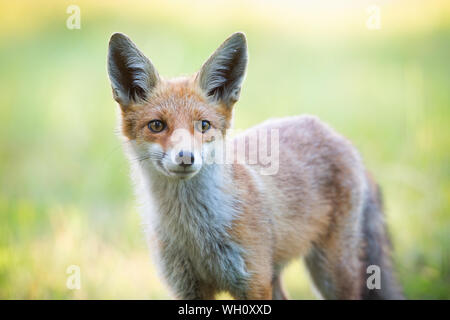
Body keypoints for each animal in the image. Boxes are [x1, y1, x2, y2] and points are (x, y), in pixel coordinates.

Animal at [107, 31, 402, 298]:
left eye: (204, 125)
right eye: (157, 125)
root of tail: (336, 134)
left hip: (331, 272)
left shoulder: (254, 282)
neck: (195, 234)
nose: (186, 157)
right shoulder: (187, 289)